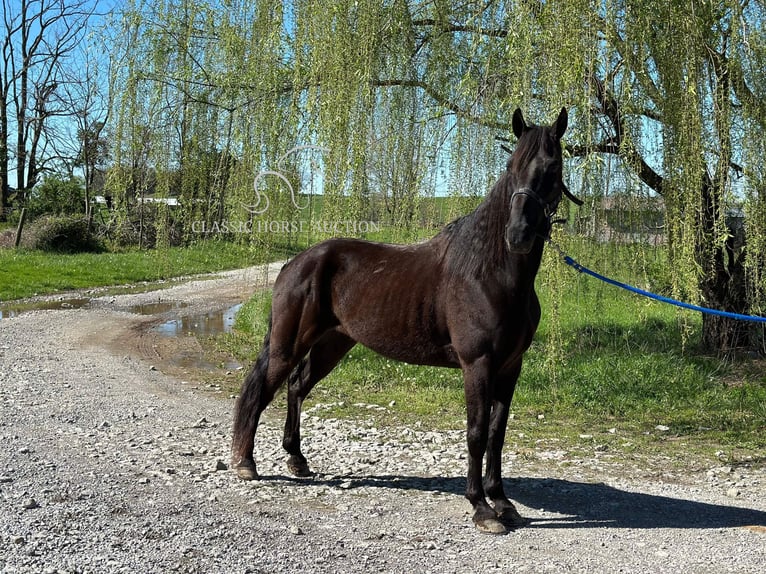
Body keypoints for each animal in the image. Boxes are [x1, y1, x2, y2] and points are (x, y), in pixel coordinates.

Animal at [231, 107, 580, 536]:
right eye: (511, 166)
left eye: (553, 167)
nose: (518, 235)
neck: (489, 271)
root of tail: (296, 263)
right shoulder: (477, 365)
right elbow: (477, 432)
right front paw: (481, 508)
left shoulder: (510, 367)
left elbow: (497, 436)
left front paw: (503, 504)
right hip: (288, 343)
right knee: (262, 389)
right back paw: (247, 463)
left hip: (333, 343)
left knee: (297, 387)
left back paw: (298, 461)